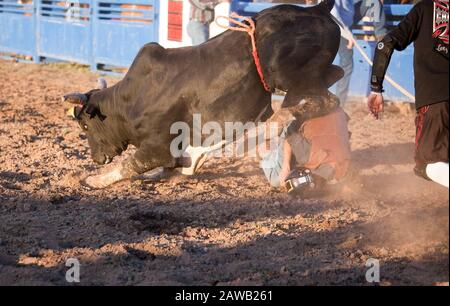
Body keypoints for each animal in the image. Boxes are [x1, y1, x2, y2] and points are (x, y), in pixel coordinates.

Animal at [63, 1, 342, 189]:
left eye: (85, 125)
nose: (96, 158)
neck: (131, 101)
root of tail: (317, 9)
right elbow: (170, 167)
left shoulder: (157, 146)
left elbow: (130, 164)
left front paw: (93, 179)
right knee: (332, 80)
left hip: (285, 74)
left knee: (324, 100)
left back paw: (274, 121)